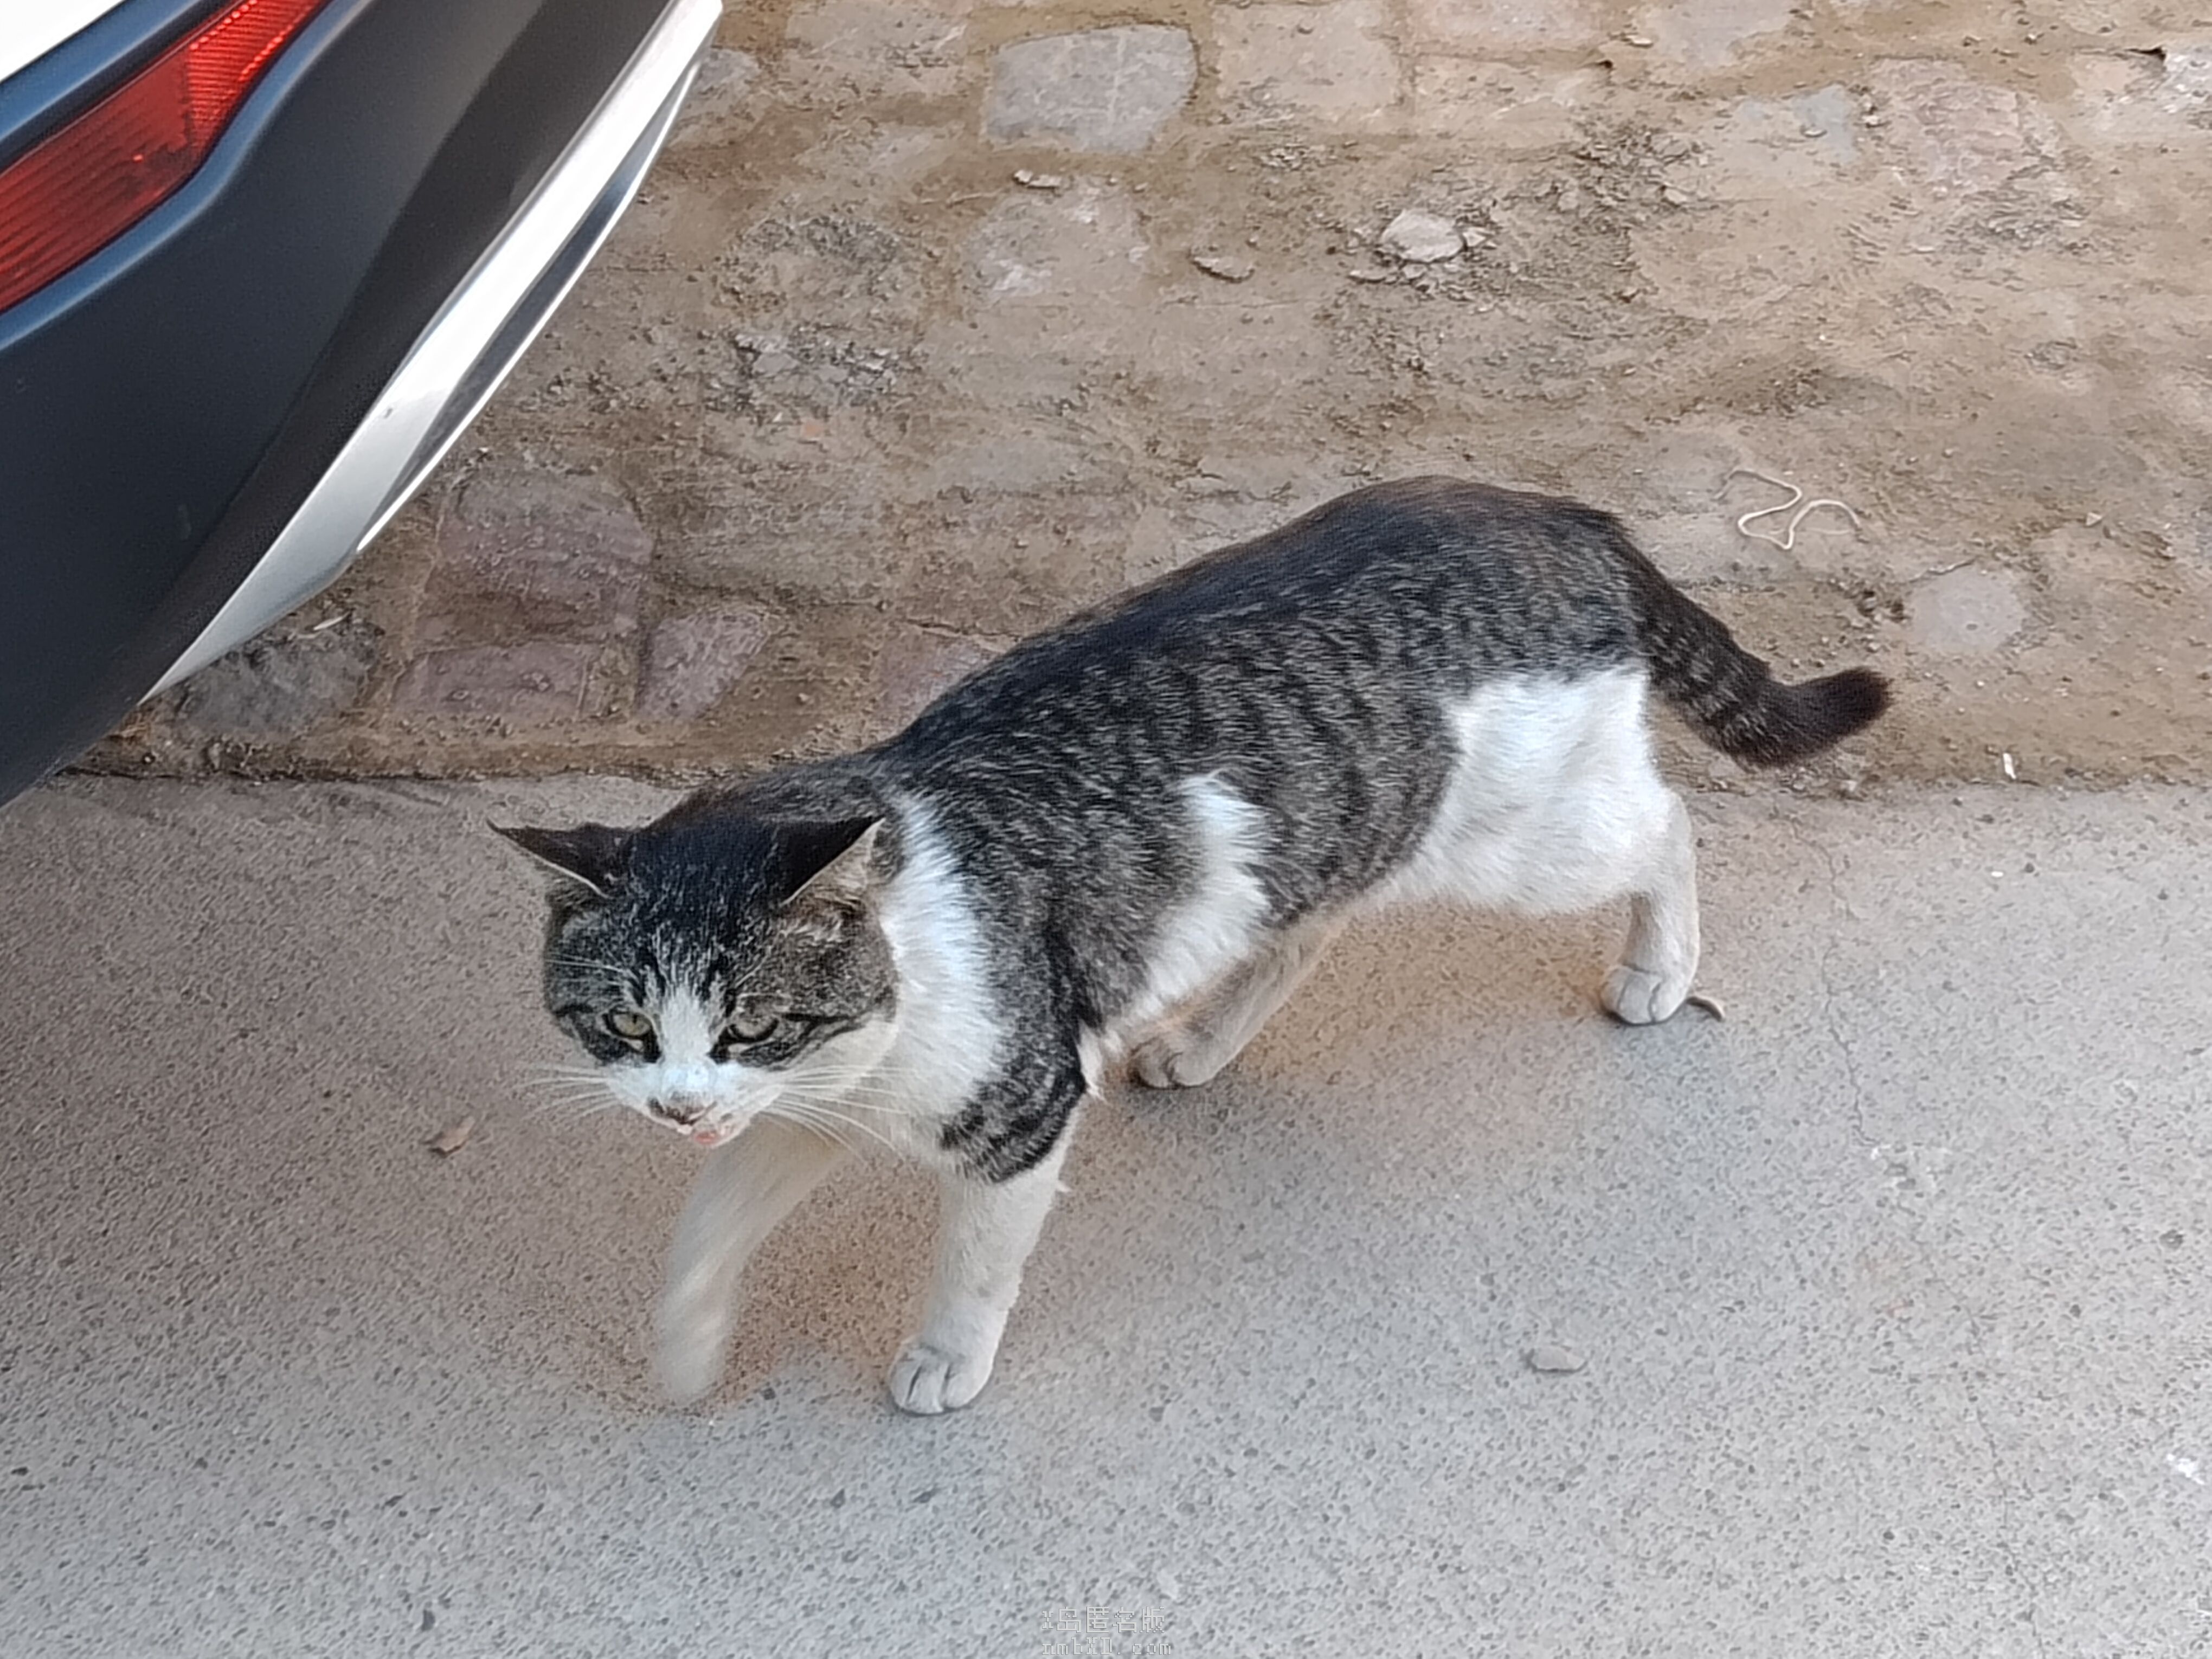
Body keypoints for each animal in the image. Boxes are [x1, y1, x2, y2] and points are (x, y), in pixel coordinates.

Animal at [497, 477, 1888, 1415]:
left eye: (749, 1023)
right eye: (626, 1026)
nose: (676, 1106)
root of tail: (1549, 509)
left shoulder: (1015, 1110)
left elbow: (975, 1263)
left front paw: (947, 1357)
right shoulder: (810, 1110)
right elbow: (704, 1228)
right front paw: (685, 1354)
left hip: (1527, 842)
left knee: (1665, 825)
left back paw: (1660, 969)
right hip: (1333, 834)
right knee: (1304, 932)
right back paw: (1202, 1042)